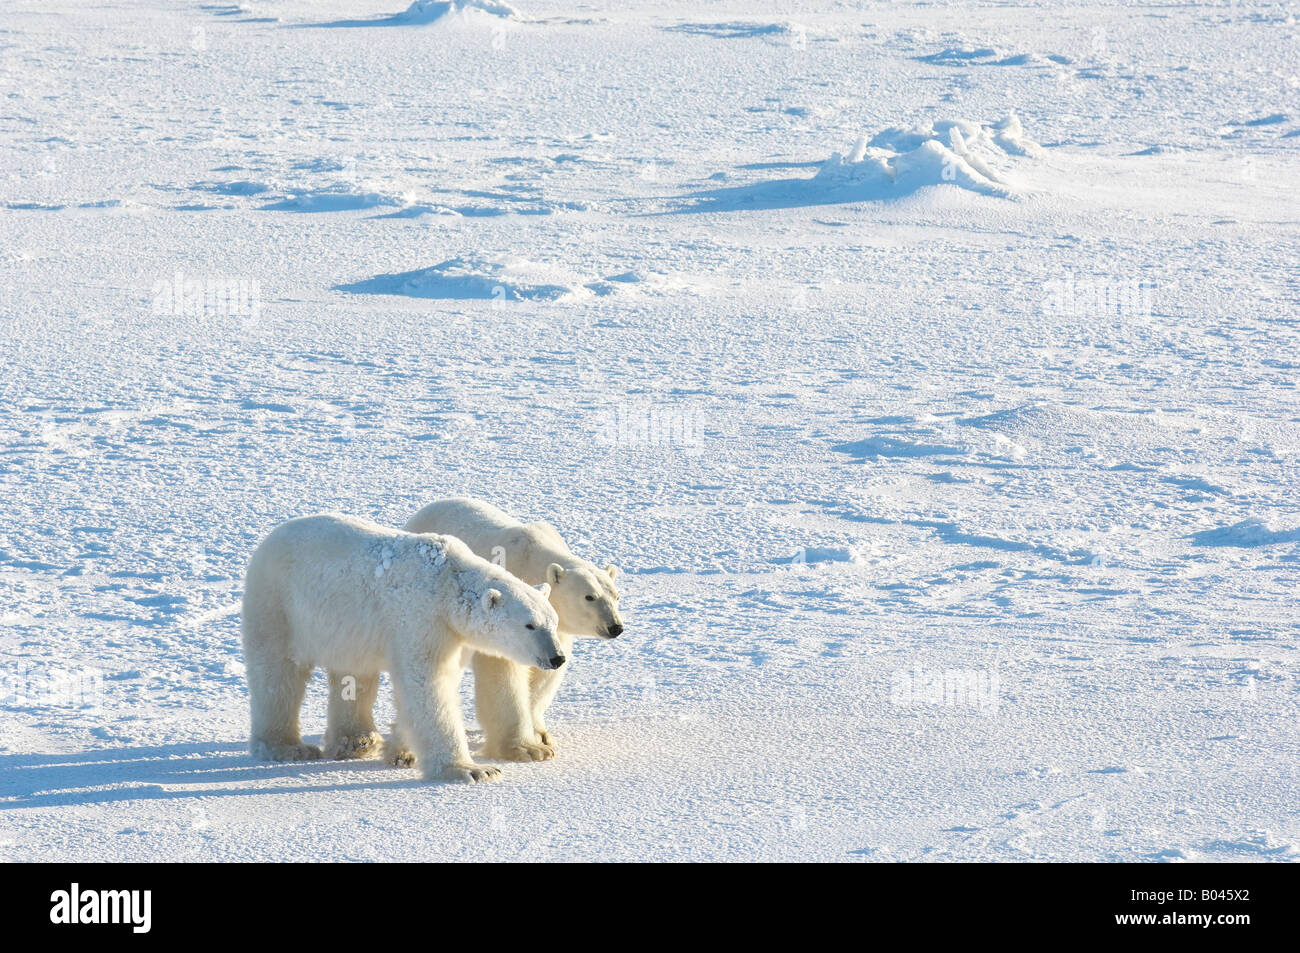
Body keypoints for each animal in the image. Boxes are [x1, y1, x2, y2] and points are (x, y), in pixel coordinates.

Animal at [241, 512, 561, 780]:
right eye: (530, 625)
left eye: (554, 622)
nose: (557, 657)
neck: (447, 583)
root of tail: (271, 537)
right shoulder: (421, 616)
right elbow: (428, 683)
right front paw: (471, 770)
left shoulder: (451, 635)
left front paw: (402, 752)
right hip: (277, 604)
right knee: (278, 674)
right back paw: (287, 747)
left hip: (344, 629)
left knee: (354, 675)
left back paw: (357, 741)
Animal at [330, 499, 624, 759]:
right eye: (589, 597)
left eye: (616, 595)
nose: (615, 627)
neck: (533, 558)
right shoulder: (504, 619)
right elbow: (503, 671)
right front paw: (526, 745)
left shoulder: (556, 628)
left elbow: (546, 675)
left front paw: (540, 733)